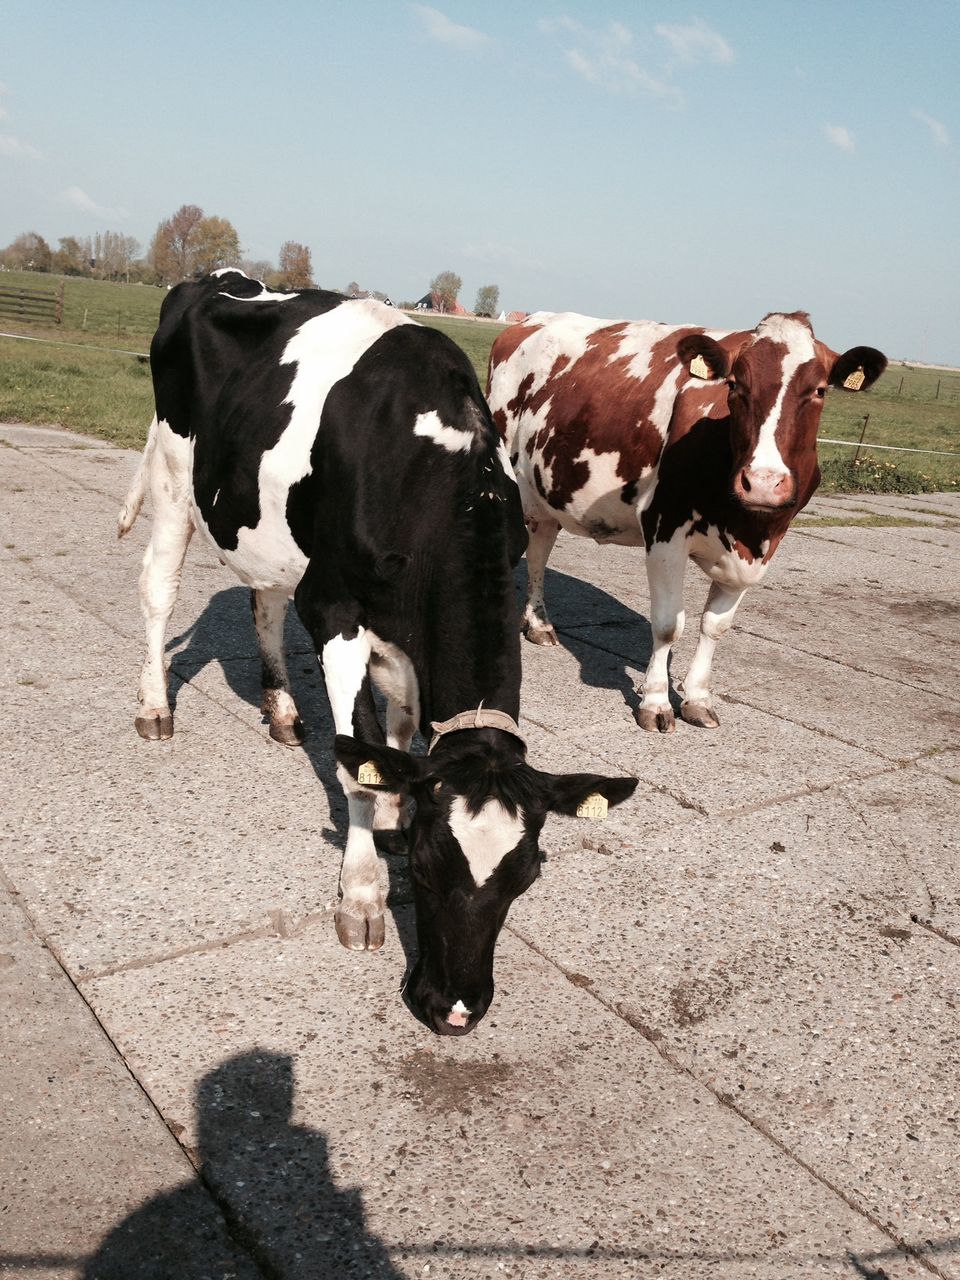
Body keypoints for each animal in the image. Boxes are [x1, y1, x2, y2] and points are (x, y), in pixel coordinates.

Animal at [118, 271, 637, 1035]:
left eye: (528, 876)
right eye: (422, 869)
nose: (456, 1011)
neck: (430, 471)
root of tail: (219, 278)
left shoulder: (401, 626)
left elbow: (399, 725)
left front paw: (393, 806)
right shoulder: (334, 608)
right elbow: (355, 762)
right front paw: (362, 894)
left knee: (263, 602)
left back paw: (280, 711)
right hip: (174, 472)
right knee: (158, 586)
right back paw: (155, 706)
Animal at [487, 310, 886, 733]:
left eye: (820, 390)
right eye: (735, 385)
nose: (763, 483)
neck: (745, 527)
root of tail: (530, 320)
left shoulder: (760, 549)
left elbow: (715, 626)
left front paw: (697, 698)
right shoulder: (665, 529)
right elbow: (667, 624)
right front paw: (656, 702)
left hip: (545, 491)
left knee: (540, 548)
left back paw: (539, 624)